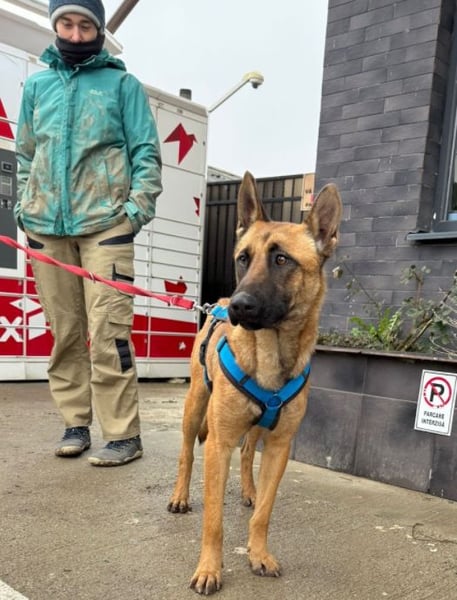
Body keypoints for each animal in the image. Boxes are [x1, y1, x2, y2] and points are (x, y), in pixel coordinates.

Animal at [167, 171, 342, 595]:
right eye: (243, 258)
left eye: (282, 259)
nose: (238, 306)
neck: (270, 355)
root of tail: (214, 303)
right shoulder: (218, 445)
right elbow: (213, 521)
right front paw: (209, 569)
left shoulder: (279, 447)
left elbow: (264, 511)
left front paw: (259, 553)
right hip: (195, 407)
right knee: (186, 454)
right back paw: (180, 496)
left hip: (256, 430)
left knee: (248, 455)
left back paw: (248, 489)